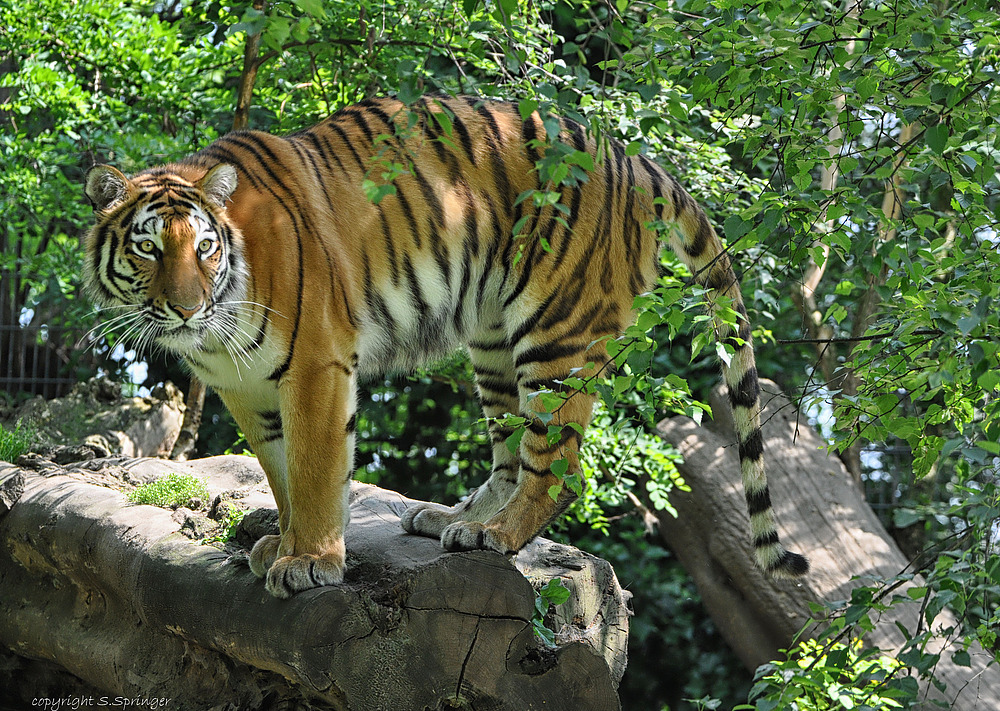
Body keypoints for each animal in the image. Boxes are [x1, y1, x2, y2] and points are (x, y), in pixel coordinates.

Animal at [82, 93, 808, 596]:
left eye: (205, 247)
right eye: (150, 249)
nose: (187, 307)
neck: (220, 327)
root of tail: (636, 159)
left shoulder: (316, 364)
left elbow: (315, 470)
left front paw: (309, 561)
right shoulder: (244, 387)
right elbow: (281, 473)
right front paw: (281, 546)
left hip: (556, 332)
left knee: (560, 466)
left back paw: (494, 534)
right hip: (492, 338)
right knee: (513, 453)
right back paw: (452, 519)